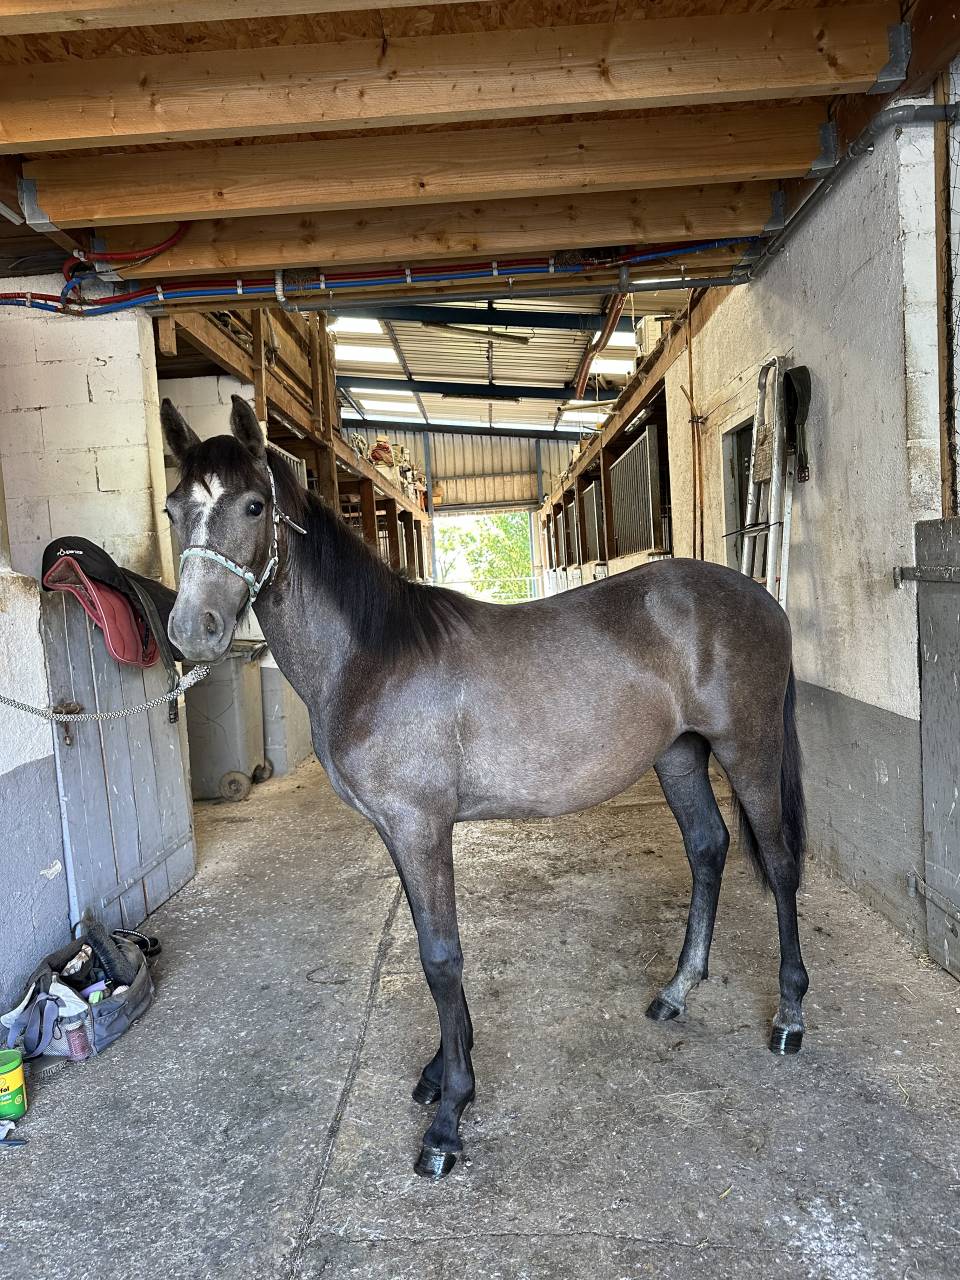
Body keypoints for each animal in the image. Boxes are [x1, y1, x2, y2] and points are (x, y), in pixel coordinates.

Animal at [160, 394, 808, 1180]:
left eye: (254, 505)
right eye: (172, 508)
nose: (193, 632)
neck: (373, 657)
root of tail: (764, 601)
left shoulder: (420, 825)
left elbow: (441, 959)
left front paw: (449, 1117)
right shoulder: (400, 832)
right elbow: (429, 945)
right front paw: (442, 1072)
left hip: (749, 749)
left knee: (779, 863)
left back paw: (789, 1017)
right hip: (679, 757)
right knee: (709, 849)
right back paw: (677, 992)